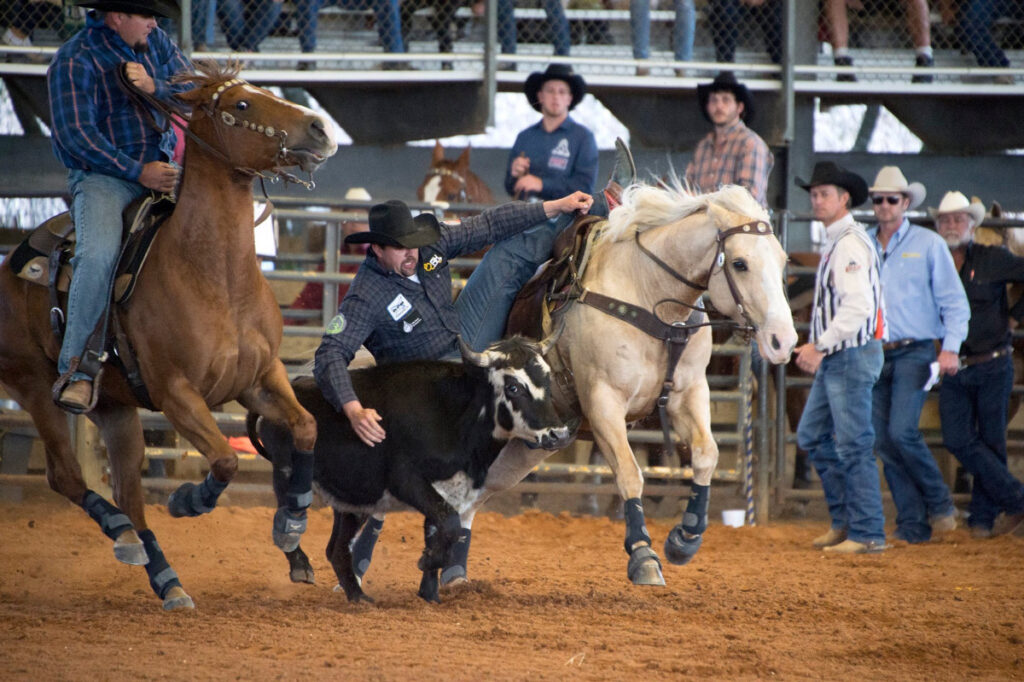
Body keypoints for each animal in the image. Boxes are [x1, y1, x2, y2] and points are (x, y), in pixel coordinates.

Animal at [0, 59, 337, 610]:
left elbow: (306, 427)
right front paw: (187, 500)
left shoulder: (259, 379)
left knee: (128, 490)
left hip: (114, 407)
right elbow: (225, 459)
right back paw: (126, 538)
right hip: (34, 387)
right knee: (67, 476)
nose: (320, 129)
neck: (214, 274)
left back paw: (164, 577)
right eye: (241, 103)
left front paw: (292, 531)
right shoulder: (176, 392)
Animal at [466, 182, 798, 585]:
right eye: (739, 263)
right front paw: (643, 555)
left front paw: (684, 538)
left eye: (782, 261)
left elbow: (706, 454)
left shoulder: (689, 394)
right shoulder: (603, 403)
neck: (647, 296)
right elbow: (629, 472)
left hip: (526, 449)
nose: (784, 340)